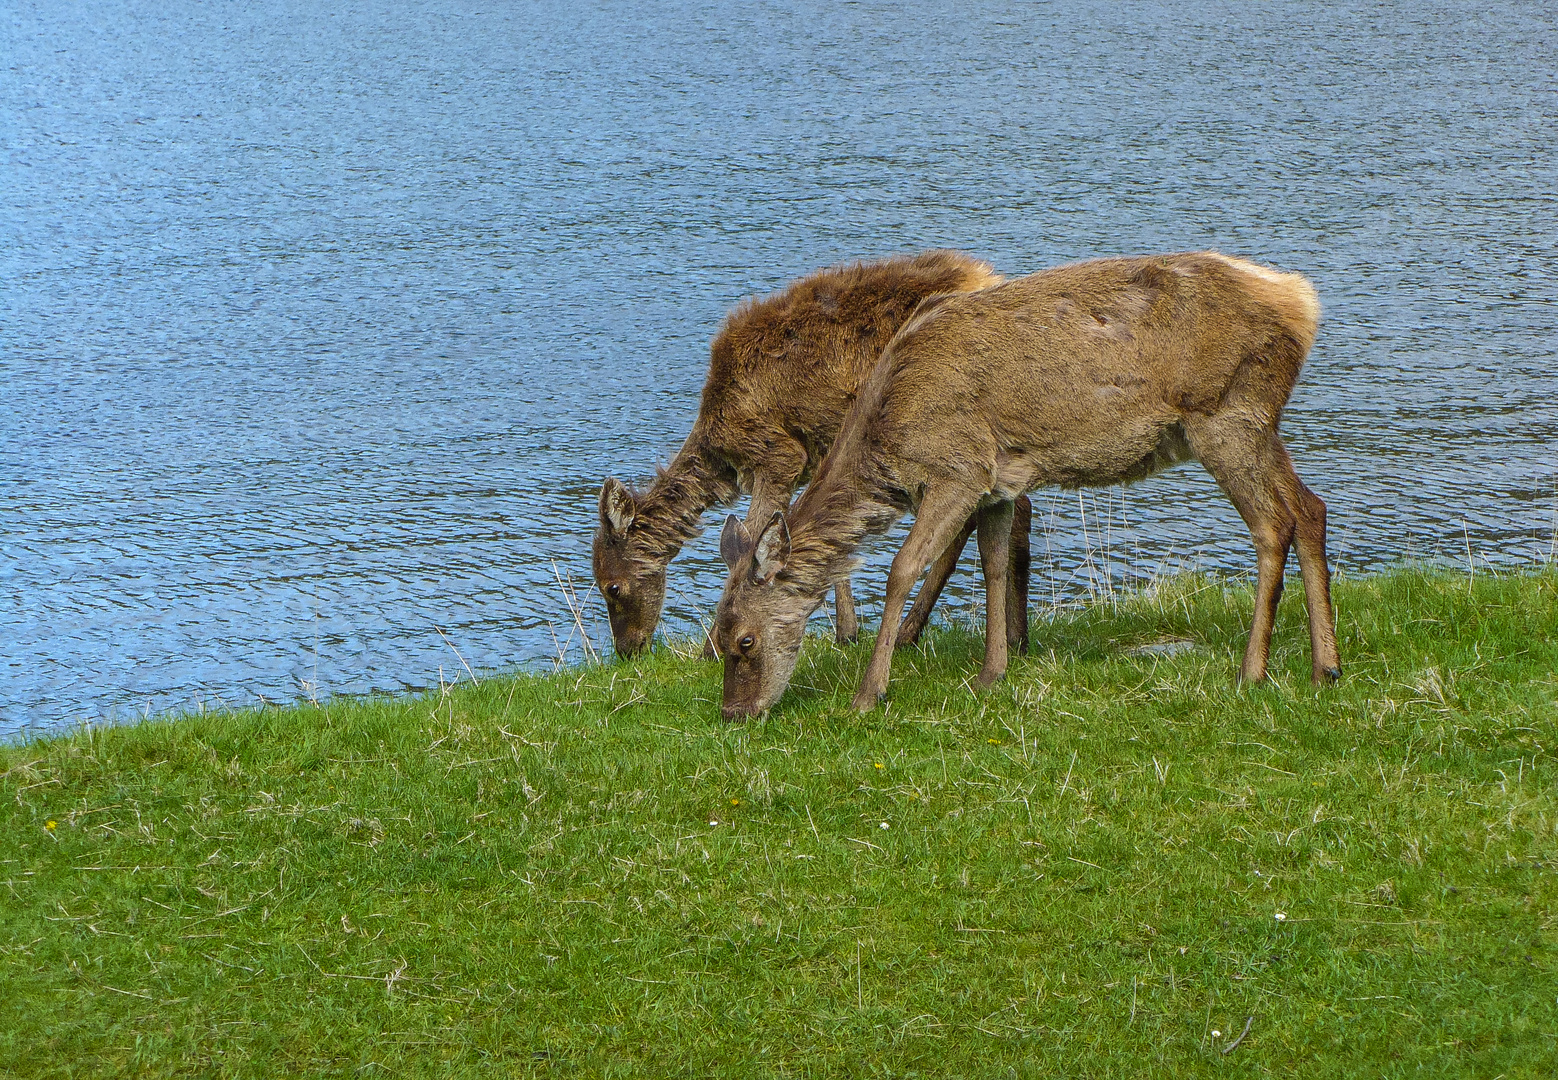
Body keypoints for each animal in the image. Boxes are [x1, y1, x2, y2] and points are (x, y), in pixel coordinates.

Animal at [588, 252, 1028, 657]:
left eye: (612, 587)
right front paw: (846, 631)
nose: (627, 650)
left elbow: (753, 537)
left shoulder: (779, 453)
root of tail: (990, 278)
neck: (721, 451)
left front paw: (712, 648)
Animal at [713, 252, 1339, 716]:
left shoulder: (958, 469)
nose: (734, 714)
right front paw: (993, 671)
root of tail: (1303, 302)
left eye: (743, 641)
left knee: (1272, 524)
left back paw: (1252, 671)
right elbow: (994, 563)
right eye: (716, 636)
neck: (884, 433)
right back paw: (1325, 668)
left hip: (1225, 415)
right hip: (1257, 421)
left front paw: (870, 692)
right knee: (1311, 506)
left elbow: (902, 569)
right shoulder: (998, 484)